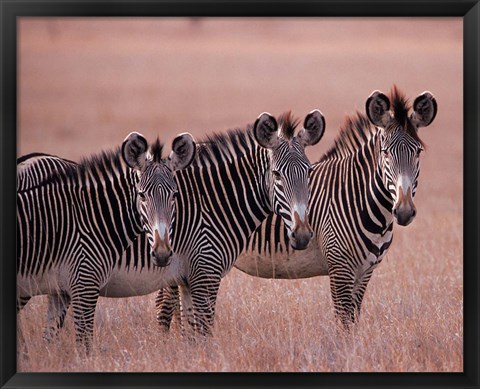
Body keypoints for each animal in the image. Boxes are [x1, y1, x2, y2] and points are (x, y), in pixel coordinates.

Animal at [157, 86, 436, 328]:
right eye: (386, 153)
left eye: (418, 152)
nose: (404, 212)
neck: (357, 197)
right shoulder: (340, 269)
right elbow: (344, 323)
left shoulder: (364, 272)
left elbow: (353, 321)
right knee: (164, 305)